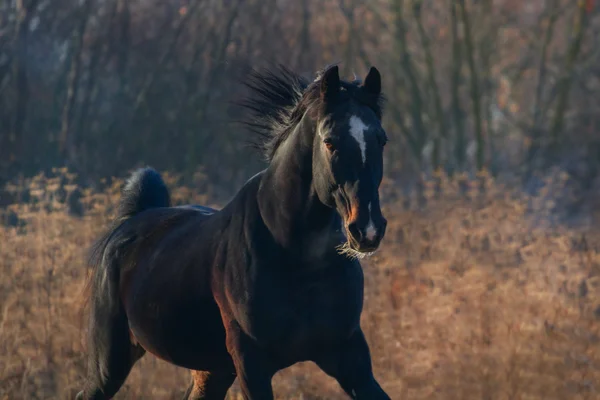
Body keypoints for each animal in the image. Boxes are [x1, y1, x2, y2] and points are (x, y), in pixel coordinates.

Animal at [76, 64, 390, 398]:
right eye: (330, 141)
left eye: (381, 139)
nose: (368, 229)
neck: (298, 257)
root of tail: (134, 220)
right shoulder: (251, 362)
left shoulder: (349, 355)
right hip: (111, 361)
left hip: (211, 369)